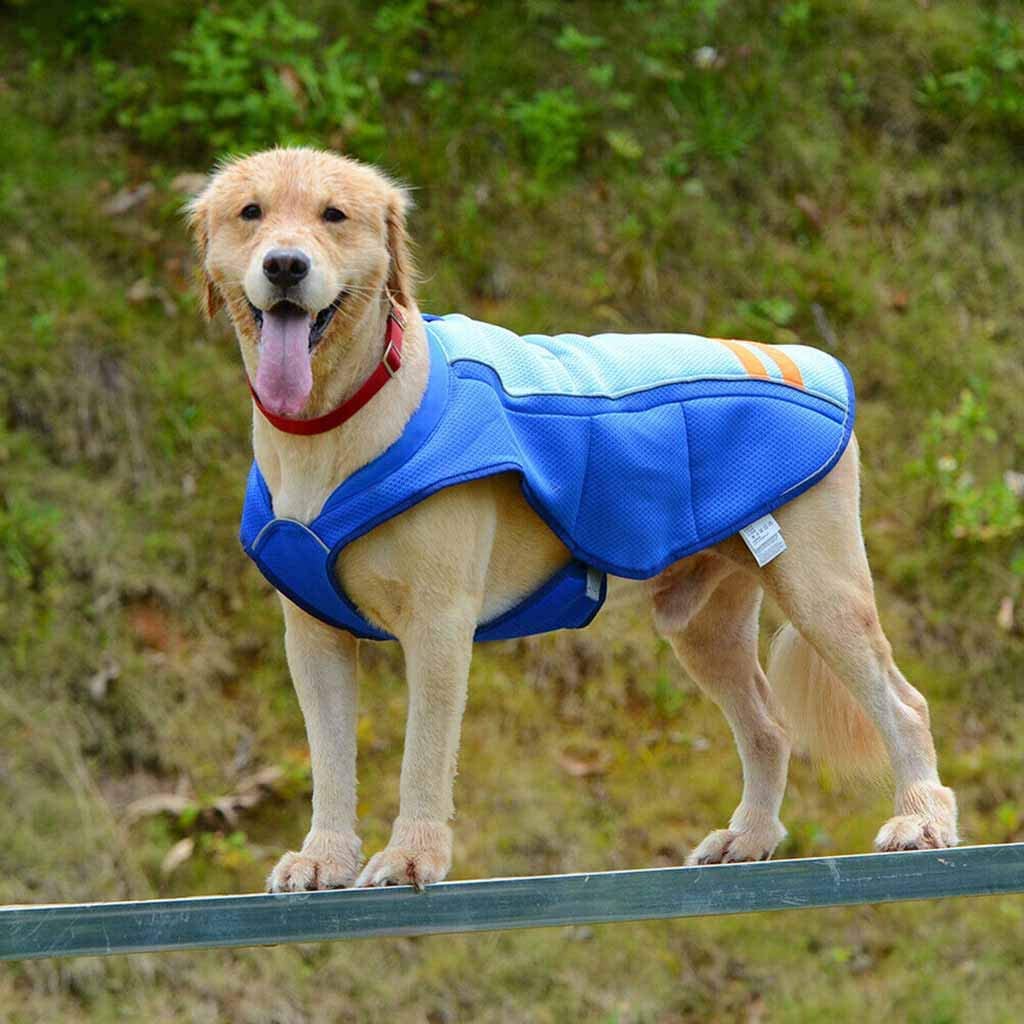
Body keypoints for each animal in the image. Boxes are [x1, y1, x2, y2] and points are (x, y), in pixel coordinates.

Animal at [186, 148, 958, 892]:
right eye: (250, 213)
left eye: (334, 214)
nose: (286, 265)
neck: (334, 420)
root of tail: (805, 356)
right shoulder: (313, 638)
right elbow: (330, 760)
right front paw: (325, 856)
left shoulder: (439, 625)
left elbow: (423, 756)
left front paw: (411, 856)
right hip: (702, 624)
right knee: (768, 727)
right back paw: (750, 836)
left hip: (820, 590)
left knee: (906, 705)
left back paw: (920, 818)